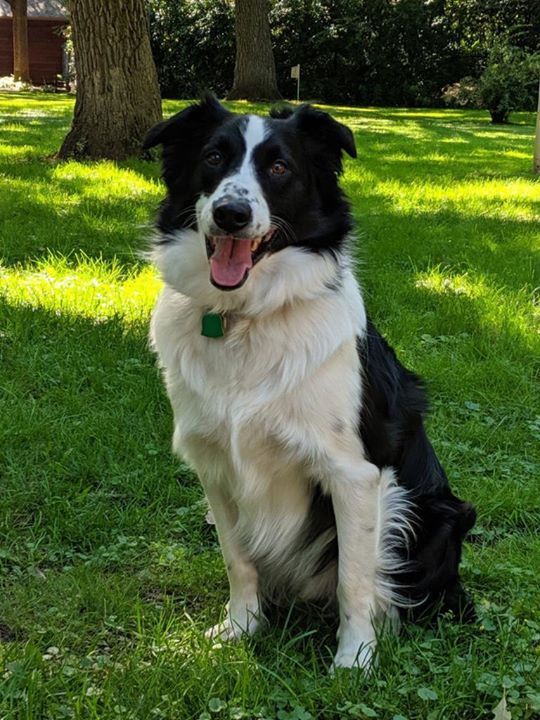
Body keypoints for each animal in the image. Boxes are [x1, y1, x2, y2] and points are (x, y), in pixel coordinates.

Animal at [144, 94, 476, 668]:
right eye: (213, 157)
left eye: (279, 168)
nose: (232, 214)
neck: (245, 319)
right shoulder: (215, 467)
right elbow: (238, 559)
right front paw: (241, 627)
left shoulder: (354, 475)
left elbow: (354, 579)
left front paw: (355, 658)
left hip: (433, 513)